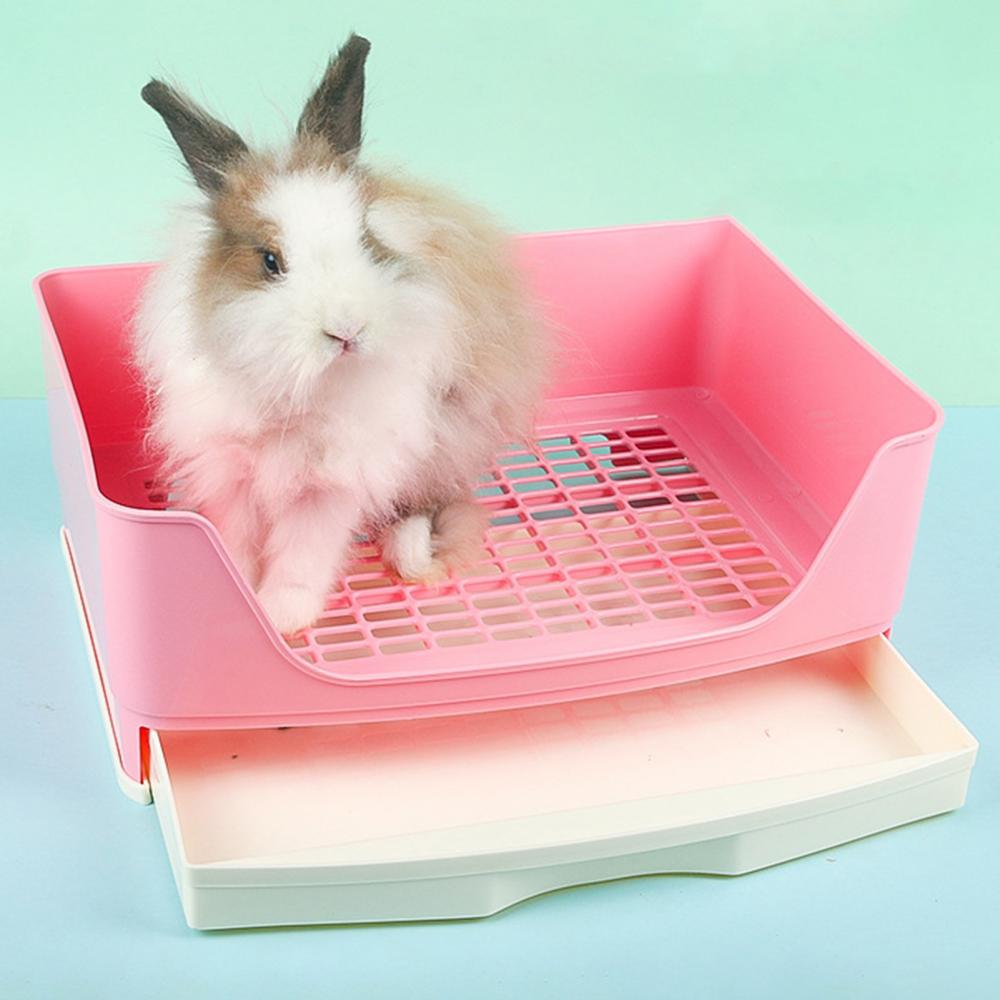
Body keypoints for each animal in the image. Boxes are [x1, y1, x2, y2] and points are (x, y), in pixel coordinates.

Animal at [133, 34, 548, 635]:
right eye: (270, 261)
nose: (347, 330)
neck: (300, 388)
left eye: (367, 240)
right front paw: (241, 592)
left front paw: (281, 616)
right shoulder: (229, 468)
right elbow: (236, 540)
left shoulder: (333, 482)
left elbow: (304, 555)